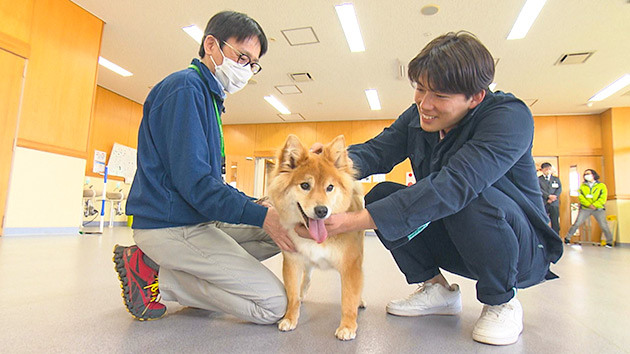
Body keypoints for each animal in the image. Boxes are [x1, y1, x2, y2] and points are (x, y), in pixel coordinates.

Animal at [266, 133, 366, 340]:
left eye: (330, 187)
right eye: (305, 185)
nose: (322, 210)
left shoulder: (351, 265)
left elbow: (348, 299)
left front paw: (347, 326)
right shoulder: (292, 262)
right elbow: (292, 296)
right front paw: (290, 318)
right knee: (307, 277)